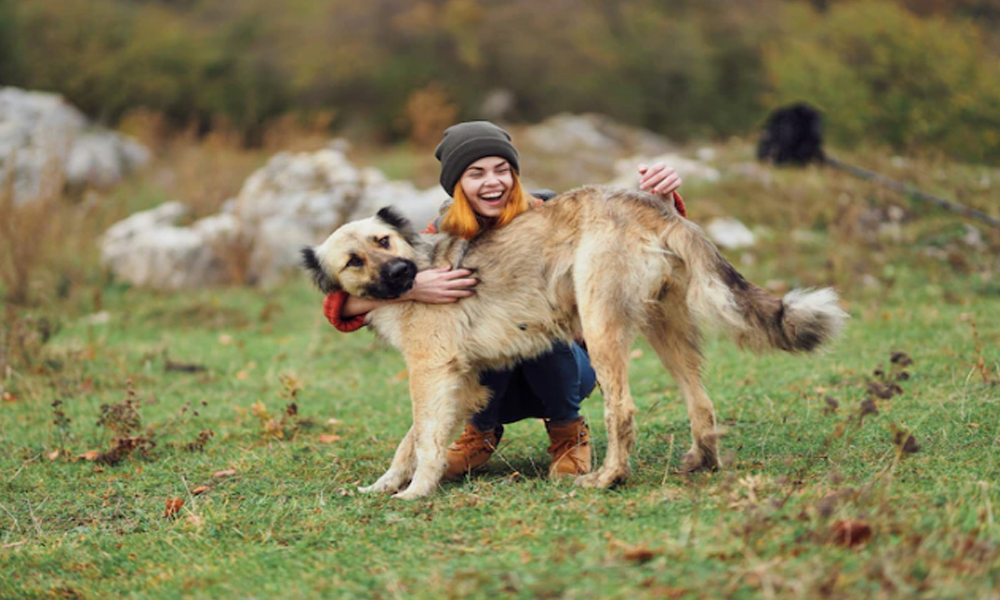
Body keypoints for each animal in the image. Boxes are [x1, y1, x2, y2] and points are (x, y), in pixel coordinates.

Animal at [300, 186, 848, 496]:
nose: (400, 272)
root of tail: (650, 205)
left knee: (621, 410)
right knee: (702, 403)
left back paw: (606, 479)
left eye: (383, 241)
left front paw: (414, 494)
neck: (422, 266)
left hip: (602, 324)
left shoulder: (431, 373)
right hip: (665, 330)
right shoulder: (461, 381)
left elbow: (424, 439)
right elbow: (410, 441)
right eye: (353, 261)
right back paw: (702, 463)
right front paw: (384, 485)